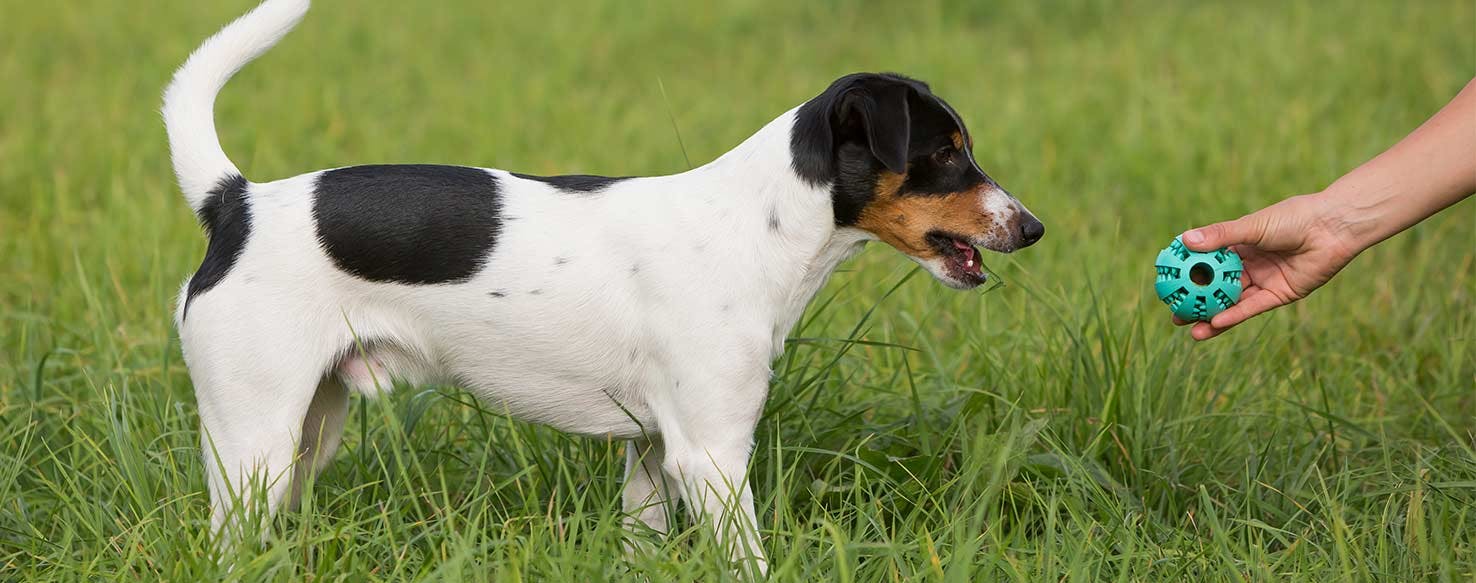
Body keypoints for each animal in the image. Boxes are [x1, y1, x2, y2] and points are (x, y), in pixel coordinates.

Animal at [167, 0, 1045, 572]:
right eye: (945, 153)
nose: (1033, 227)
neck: (757, 225)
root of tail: (236, 202)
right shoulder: (711, 454)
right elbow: (750, 560)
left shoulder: (653, 450)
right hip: (255, 441)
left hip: (309, 432)